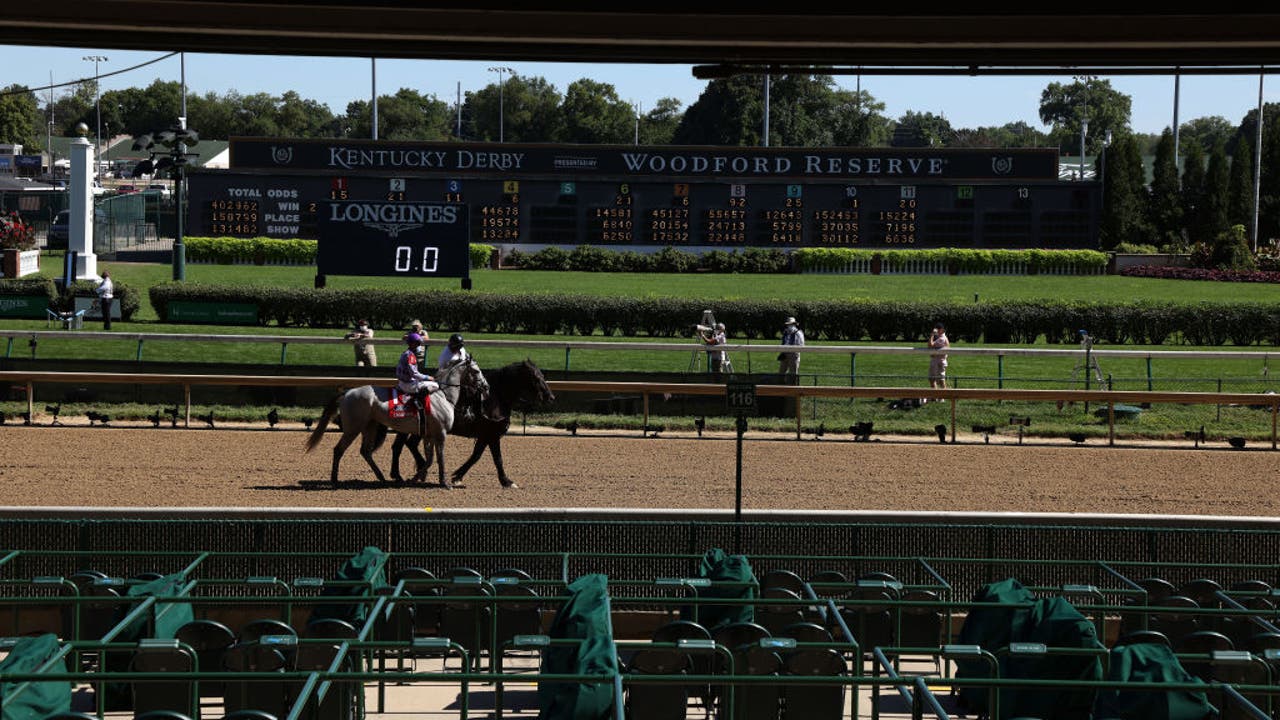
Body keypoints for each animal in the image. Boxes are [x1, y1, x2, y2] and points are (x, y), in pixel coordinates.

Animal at [304, 356, 483, 484]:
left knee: (365, 451)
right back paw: (334, 479)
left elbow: (430, 459)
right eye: (476, 371)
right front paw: (444, 482)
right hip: (353, 428)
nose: (484, 386)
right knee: (339, 450)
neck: (443, 395)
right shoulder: (441, 434)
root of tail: (347, 393)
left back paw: (381, 477)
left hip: (370, 426)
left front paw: (416, 477)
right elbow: (439, 458)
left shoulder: (430, 435)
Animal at [386, 358, 552, 486]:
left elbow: (476, 455)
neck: (494, 399)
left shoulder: (486, 436)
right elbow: (496, 459)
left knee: (404, 445)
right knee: (403, 446)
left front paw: (458, 475)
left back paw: (406, 472)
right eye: (536, 377)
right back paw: (409, 472)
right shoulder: (492, 435)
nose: (550, 397)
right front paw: (506, 481)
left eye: (542, 375)